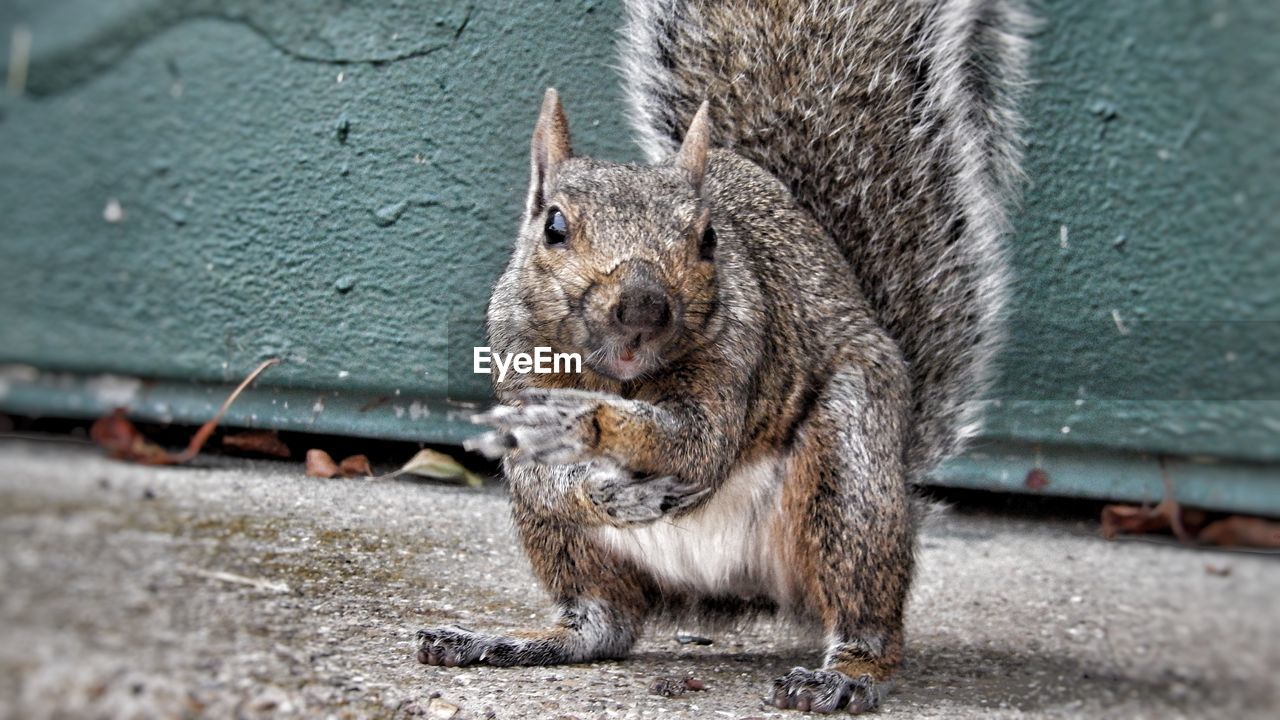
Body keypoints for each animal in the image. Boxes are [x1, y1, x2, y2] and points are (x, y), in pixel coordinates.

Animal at [417, 0, 1029, 707]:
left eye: (709, 238)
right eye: (554, 226)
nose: (643, 307)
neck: (620, 380)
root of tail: (734, 586)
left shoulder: (739, 356)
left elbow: (699, 443)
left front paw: (586, 422)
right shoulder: (517, 360)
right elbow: (550, 469)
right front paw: (590, 471)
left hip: (850, 473)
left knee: (865, 611)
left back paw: (845, 675)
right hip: (561, 540)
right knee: (602, 622)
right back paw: (510, 641)